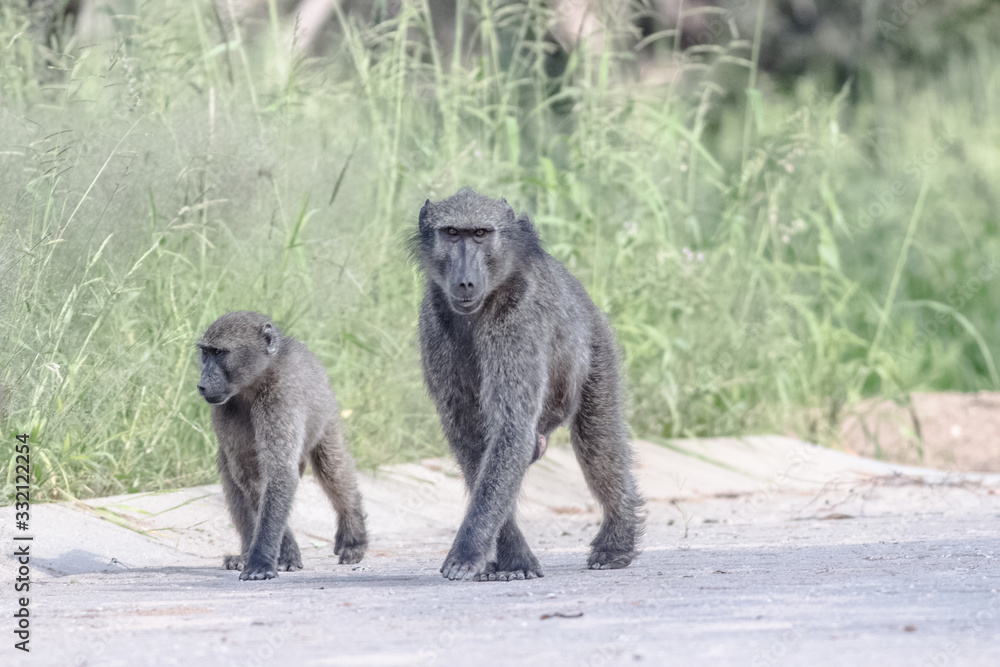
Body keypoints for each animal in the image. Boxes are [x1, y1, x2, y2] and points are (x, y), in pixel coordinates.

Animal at [197, 311, 368, 581]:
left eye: (219, 352)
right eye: (205, 352)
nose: (202, 384)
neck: (256, 380)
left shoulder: (280, 398)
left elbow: (279, 471)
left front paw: (263, 561)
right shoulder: (224, 409)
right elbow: (250, 477)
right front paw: (282, 555)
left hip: (327, 415)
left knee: (332, 467)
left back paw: (354, 537)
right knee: (229, 472)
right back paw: (244, 554)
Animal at [411, 188, 644, 581]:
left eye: (480, 234)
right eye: (452, 233)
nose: (465, 282)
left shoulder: (517, 321)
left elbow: (510, 429)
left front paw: (467, 553)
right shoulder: (434, 323)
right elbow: (471, 437)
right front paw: (511, 556)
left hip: (599, 349)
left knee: (598, 444)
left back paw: (616, 544)